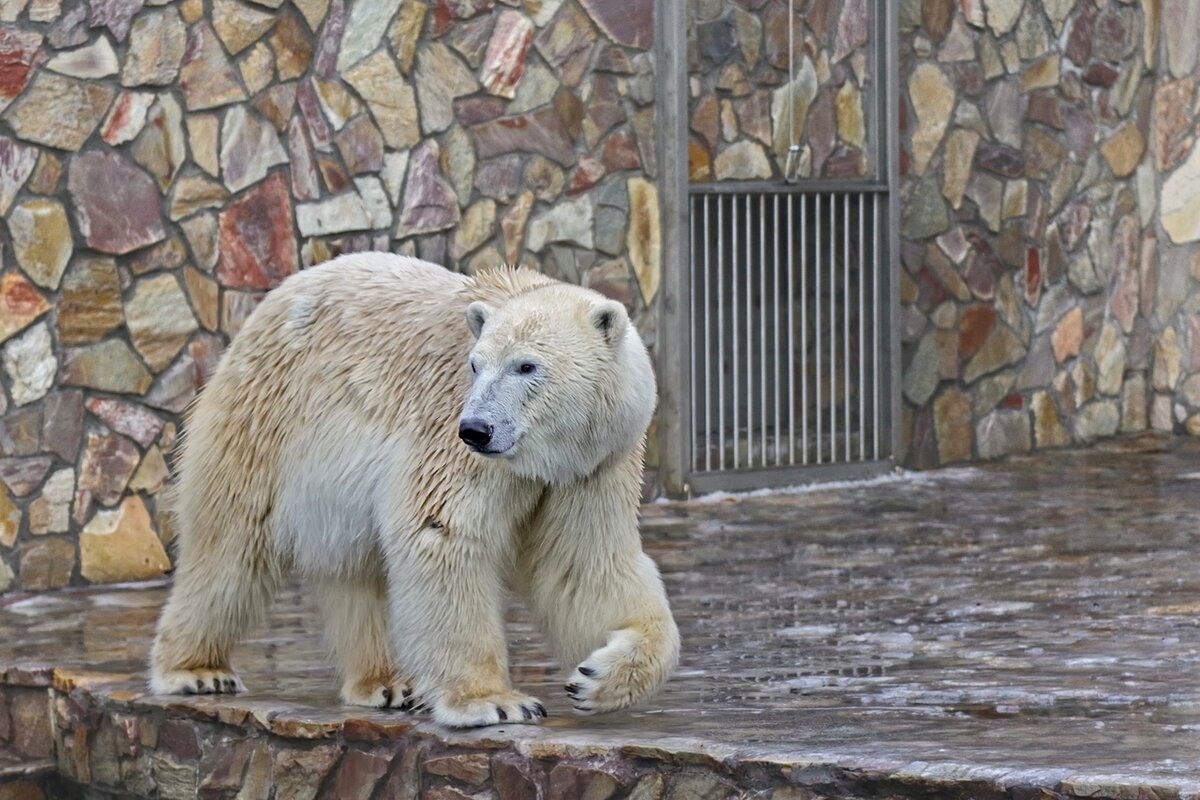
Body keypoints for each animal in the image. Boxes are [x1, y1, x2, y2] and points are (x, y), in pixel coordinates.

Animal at [146, 253, 681, 729]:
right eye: (474, 365)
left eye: (526, 366)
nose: (476, 430)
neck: (543, 456)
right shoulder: (451, 439)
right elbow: (442, 532)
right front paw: (493, 702)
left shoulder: (591, 468)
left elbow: (583, 564)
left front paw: (597, 677)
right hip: (265, 419)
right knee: (230, 544)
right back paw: (196, 671)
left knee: (357, 568)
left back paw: (387, 682)